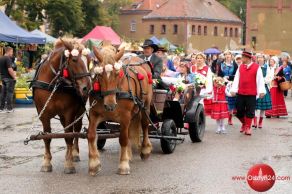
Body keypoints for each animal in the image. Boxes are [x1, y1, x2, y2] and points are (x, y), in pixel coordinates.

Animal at [31, 38, 91, 174]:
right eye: (74, 60)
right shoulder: (44, 114)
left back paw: (74, 153)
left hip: (79, 110)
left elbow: (68, 136)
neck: (55, 84)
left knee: (76, 130)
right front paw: (47, 162)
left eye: (89, 61)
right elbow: (47, 136)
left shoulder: (69, 113)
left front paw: (69, 163)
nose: (87, 87)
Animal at [87, 45, 153, 176]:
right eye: (99, 75)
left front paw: (123, 165)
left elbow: (123, 139)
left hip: (145, 106)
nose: (110, 105)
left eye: (117, 74)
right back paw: (129, 154)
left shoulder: (124, 116)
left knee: (144, 125)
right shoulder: (94, 114)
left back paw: (145, 149)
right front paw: (94, 164)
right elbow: (91, 135)